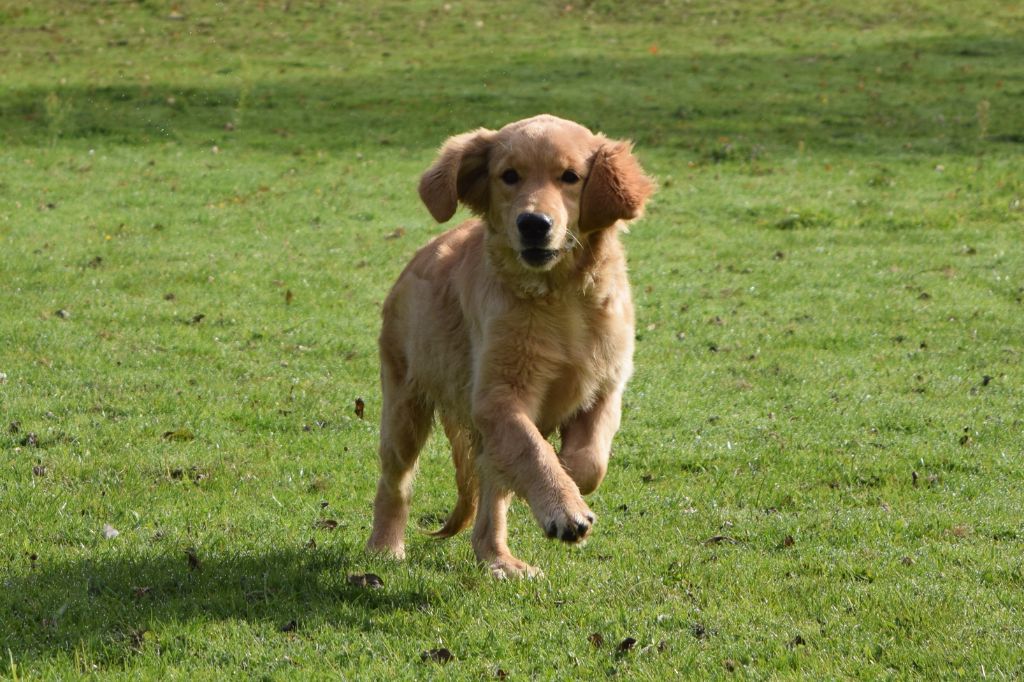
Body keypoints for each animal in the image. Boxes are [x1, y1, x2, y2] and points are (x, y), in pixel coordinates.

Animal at [368, 115, 655, 573]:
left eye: (570, 177)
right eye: (509, 176)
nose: (534, 223)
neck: (560, 295)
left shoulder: (605, 388)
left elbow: (589, 462)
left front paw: (567, 478)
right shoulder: (498, 397)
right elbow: (533, 451)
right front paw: (565, 507)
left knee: (491, 491)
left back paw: (499, 561)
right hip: (403, 406)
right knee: (395, 480)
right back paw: (385, 546)